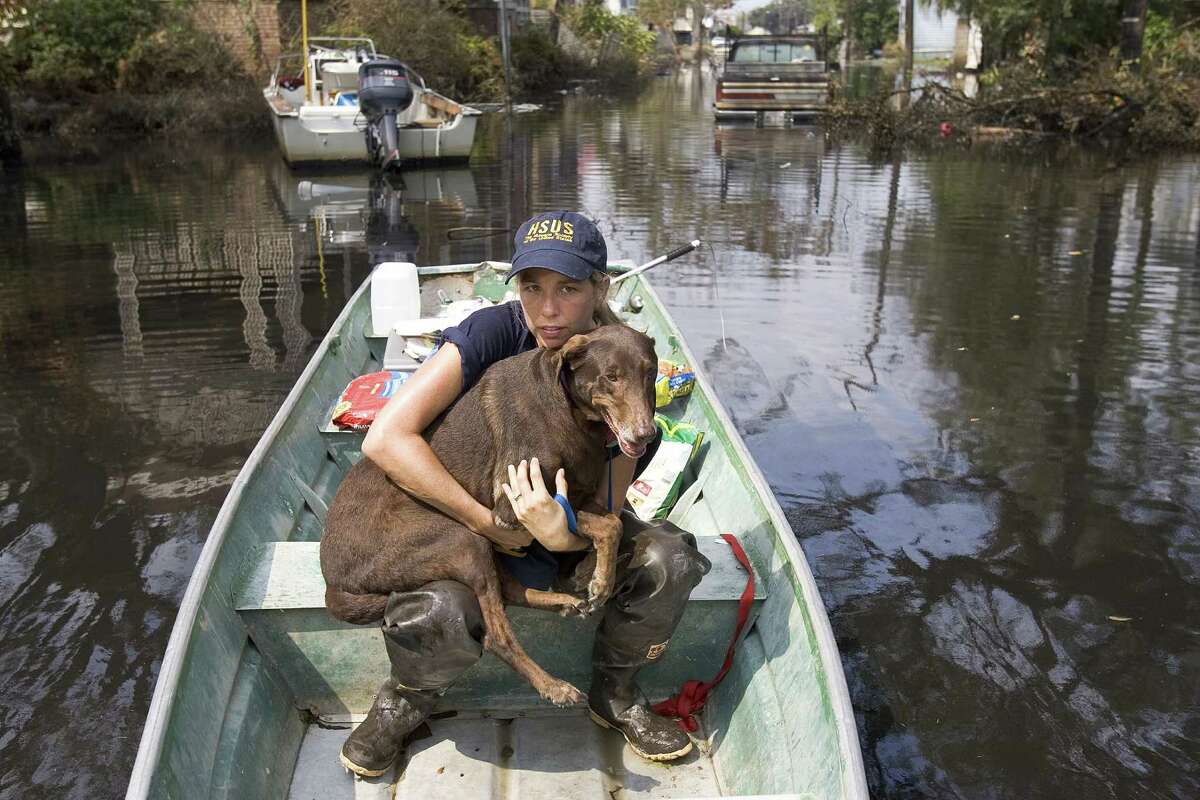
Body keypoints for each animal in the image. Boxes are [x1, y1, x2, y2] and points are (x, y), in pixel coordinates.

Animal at [319, 326, 657, 705]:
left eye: (650, 374)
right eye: (611, 376)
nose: (646, 434)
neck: (570, 411)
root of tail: (332, 581)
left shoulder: (575, 493)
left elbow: (609, 521)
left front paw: (592, 572)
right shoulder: (511, 507)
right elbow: (607, 525)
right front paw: (601, 580)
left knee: (509, 590)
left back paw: (563, 602)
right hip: (460, 537)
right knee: (496, 634)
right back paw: (553, 686)